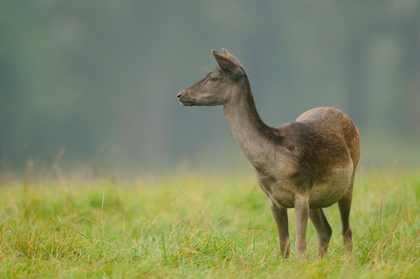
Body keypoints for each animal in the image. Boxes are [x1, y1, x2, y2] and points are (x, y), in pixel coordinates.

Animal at [176, 48, 360, 260]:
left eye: (212, 78)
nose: (180, 94)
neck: (270, 163)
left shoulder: (301, 191)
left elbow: (300, 244)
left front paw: (301, 264)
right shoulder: (273, 200)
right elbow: (283, 244)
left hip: (349, 179)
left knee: (346, 230)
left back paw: (347, 261)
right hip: (316, 200)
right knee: (325, 230)